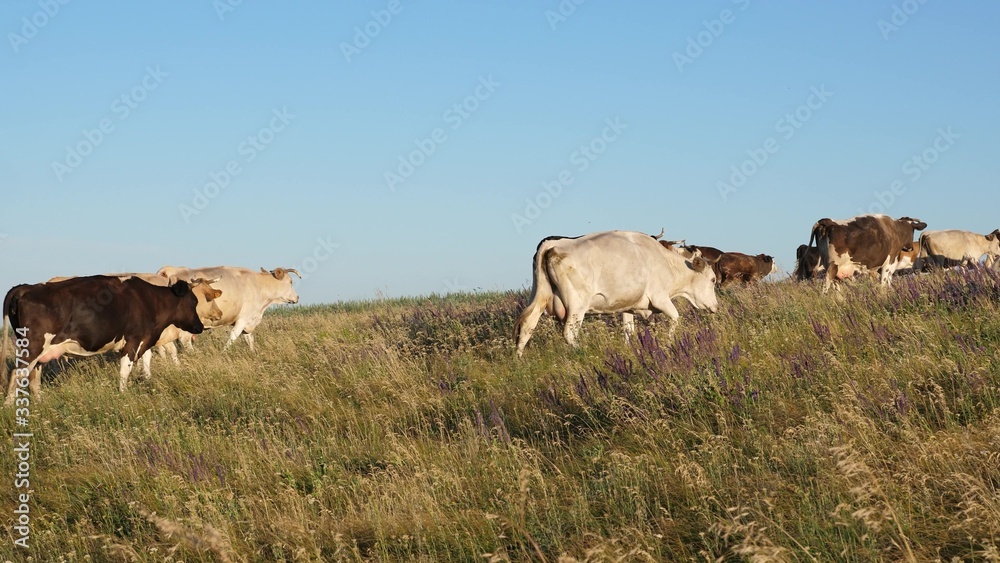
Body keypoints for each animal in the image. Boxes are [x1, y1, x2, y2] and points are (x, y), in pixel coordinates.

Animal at [1, 276, 205, 404]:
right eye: (194, 301)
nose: (200, 327)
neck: (149, 300)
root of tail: (26, 287)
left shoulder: (144, 340)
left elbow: (147, 361)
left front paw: (147, 381)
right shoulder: (132, 340)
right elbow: (125, 370)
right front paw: (123, 394)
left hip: (39, 352)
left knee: (33, 379)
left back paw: (40, 404)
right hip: (33, 347)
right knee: (16, 374)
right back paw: (10, 407)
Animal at [154, 266, 298, 350]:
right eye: (291, 282)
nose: (297, 297)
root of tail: (167, 270)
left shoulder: (248, 321)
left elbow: (249, 339)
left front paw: (253, 353)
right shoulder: (243, 319)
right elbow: (233, 338)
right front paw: (224, 353)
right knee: (184, 340)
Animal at [516, 230, 720, 356]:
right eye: (712, 280)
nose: (716, 307)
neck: (664, 262)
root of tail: (551, 245)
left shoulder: (629, 307)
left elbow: (628, 331)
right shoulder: (660, 298)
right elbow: (675, 318)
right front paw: (669, 344)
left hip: (539, 296)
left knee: (527, 325)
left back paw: (518, 360)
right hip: (577, 306)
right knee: (569, 334)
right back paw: (583, 351)